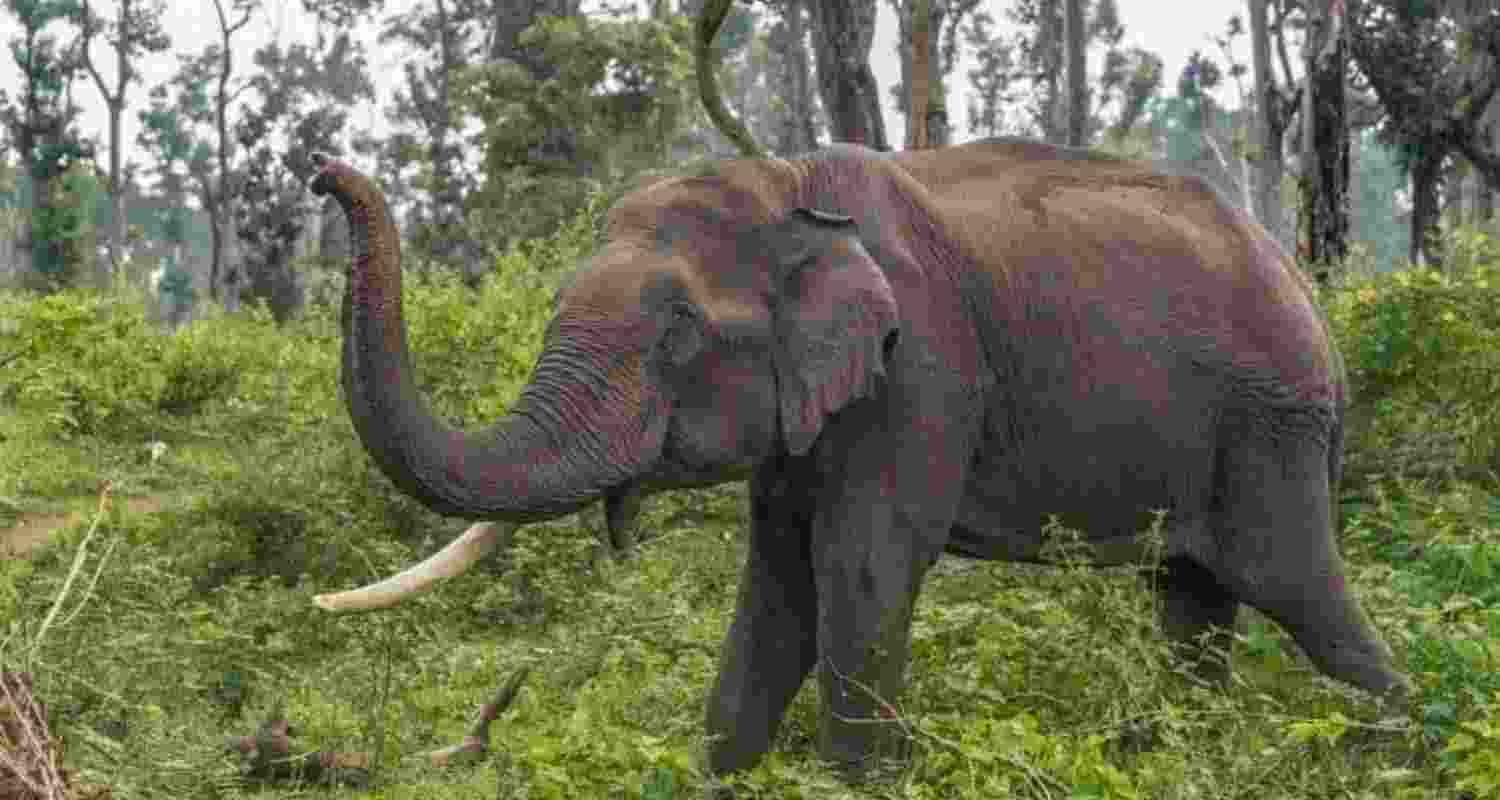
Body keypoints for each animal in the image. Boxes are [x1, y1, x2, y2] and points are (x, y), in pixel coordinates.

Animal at [306, 138, 1408, 785]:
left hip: (1274, 426)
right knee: (1193, 598)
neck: (785, 191)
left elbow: (860, 569)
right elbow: (776, 585)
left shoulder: (919, 372)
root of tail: (1309, 288)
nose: (322, 172)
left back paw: (1396, 742)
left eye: (675, 338)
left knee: (1295, 588)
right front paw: (722, 772)